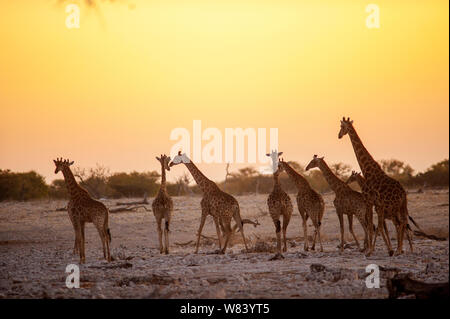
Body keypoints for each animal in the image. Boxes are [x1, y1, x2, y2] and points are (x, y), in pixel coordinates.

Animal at [338, 118, 414, 258]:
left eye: (342, 126)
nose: (339, 135)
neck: (368, 171)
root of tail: (403, 194)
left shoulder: (369, 201)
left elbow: (371, 226)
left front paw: (370, 251)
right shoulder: (376, 204)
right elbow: (376, 226)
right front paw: (383, 249)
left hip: (392, 206)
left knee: (400, 223)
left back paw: (398, 250)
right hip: (399, 206)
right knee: (402, 223)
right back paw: (399, 250)